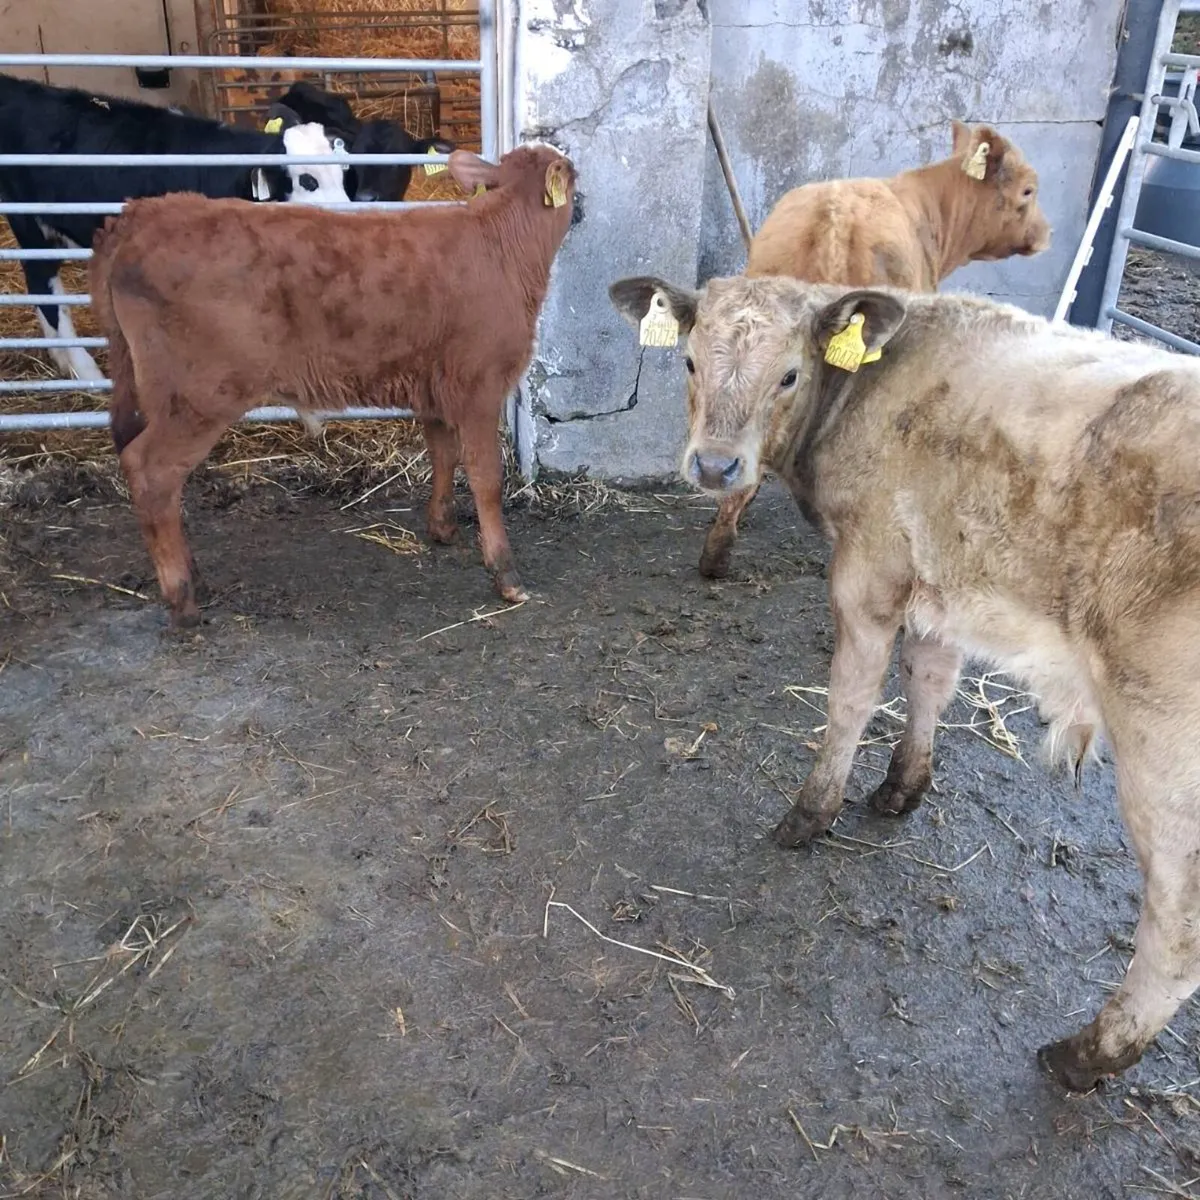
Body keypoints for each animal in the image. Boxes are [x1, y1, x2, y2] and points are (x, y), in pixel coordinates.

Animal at [90, 143, 576, 628]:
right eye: (571, 173)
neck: (500, 244)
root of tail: (142, 214)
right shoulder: (479, 385)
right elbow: (486, 478)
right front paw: (506, 573)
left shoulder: (435, 384)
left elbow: (443, 454)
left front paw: (442, 527)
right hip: (201, 396)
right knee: (151, 471)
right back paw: (183, 598)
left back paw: (195, 578)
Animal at [610, 270, 1200, 1092]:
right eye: (690, 361)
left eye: (789, 375)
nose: (716, 468)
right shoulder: (940, 581)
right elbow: (927, 681)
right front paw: (902, 787)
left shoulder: (869, 570)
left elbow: (852, 698)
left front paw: (812, 813)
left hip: (1164, 745)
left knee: (1177, 930)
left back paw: (1085, 1055)